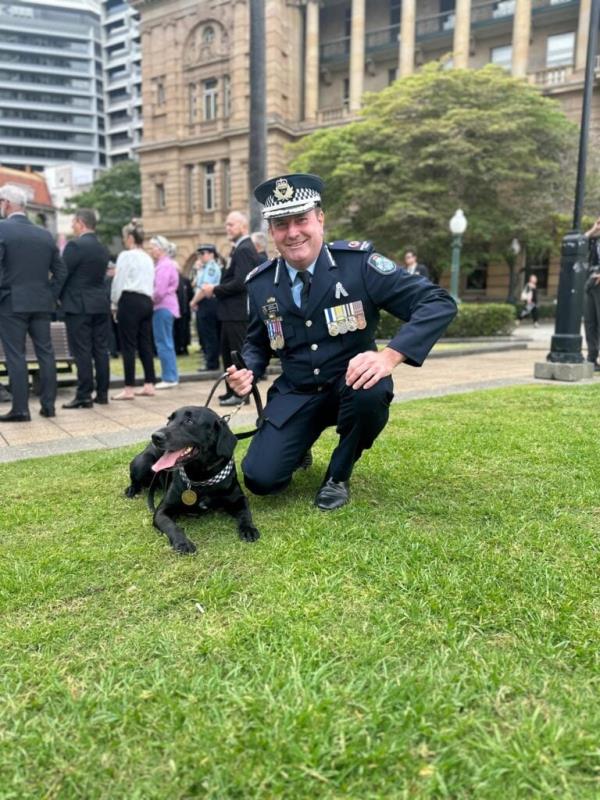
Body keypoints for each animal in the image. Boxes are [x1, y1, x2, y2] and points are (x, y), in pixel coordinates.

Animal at [125, 406, 258, 556]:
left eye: (189, 421)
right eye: (169, 420)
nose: (155, 436)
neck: (201, 476)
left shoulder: (239, 499)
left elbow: (245, 514)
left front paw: (248, 529)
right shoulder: (162, 511)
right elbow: (172, 526)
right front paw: (183, 543)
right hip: (142, 462)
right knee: (135, 479)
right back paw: (131, 489)